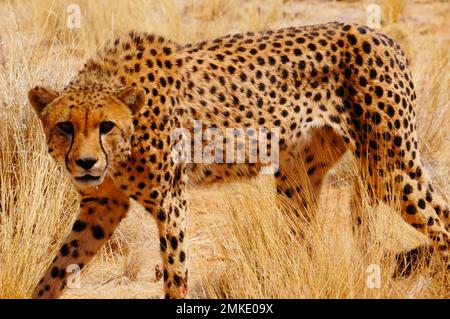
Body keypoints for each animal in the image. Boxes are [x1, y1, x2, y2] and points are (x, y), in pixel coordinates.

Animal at [29, 21, 450, 298]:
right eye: (65, 126)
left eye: (106, 126)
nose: (85, 163)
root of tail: (382, 35)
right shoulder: (103, 204)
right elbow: (59, 266)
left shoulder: (170, 200)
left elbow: (176, 270)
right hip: (296, 177)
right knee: (306, 245)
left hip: (389, 167)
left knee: (442, 220)